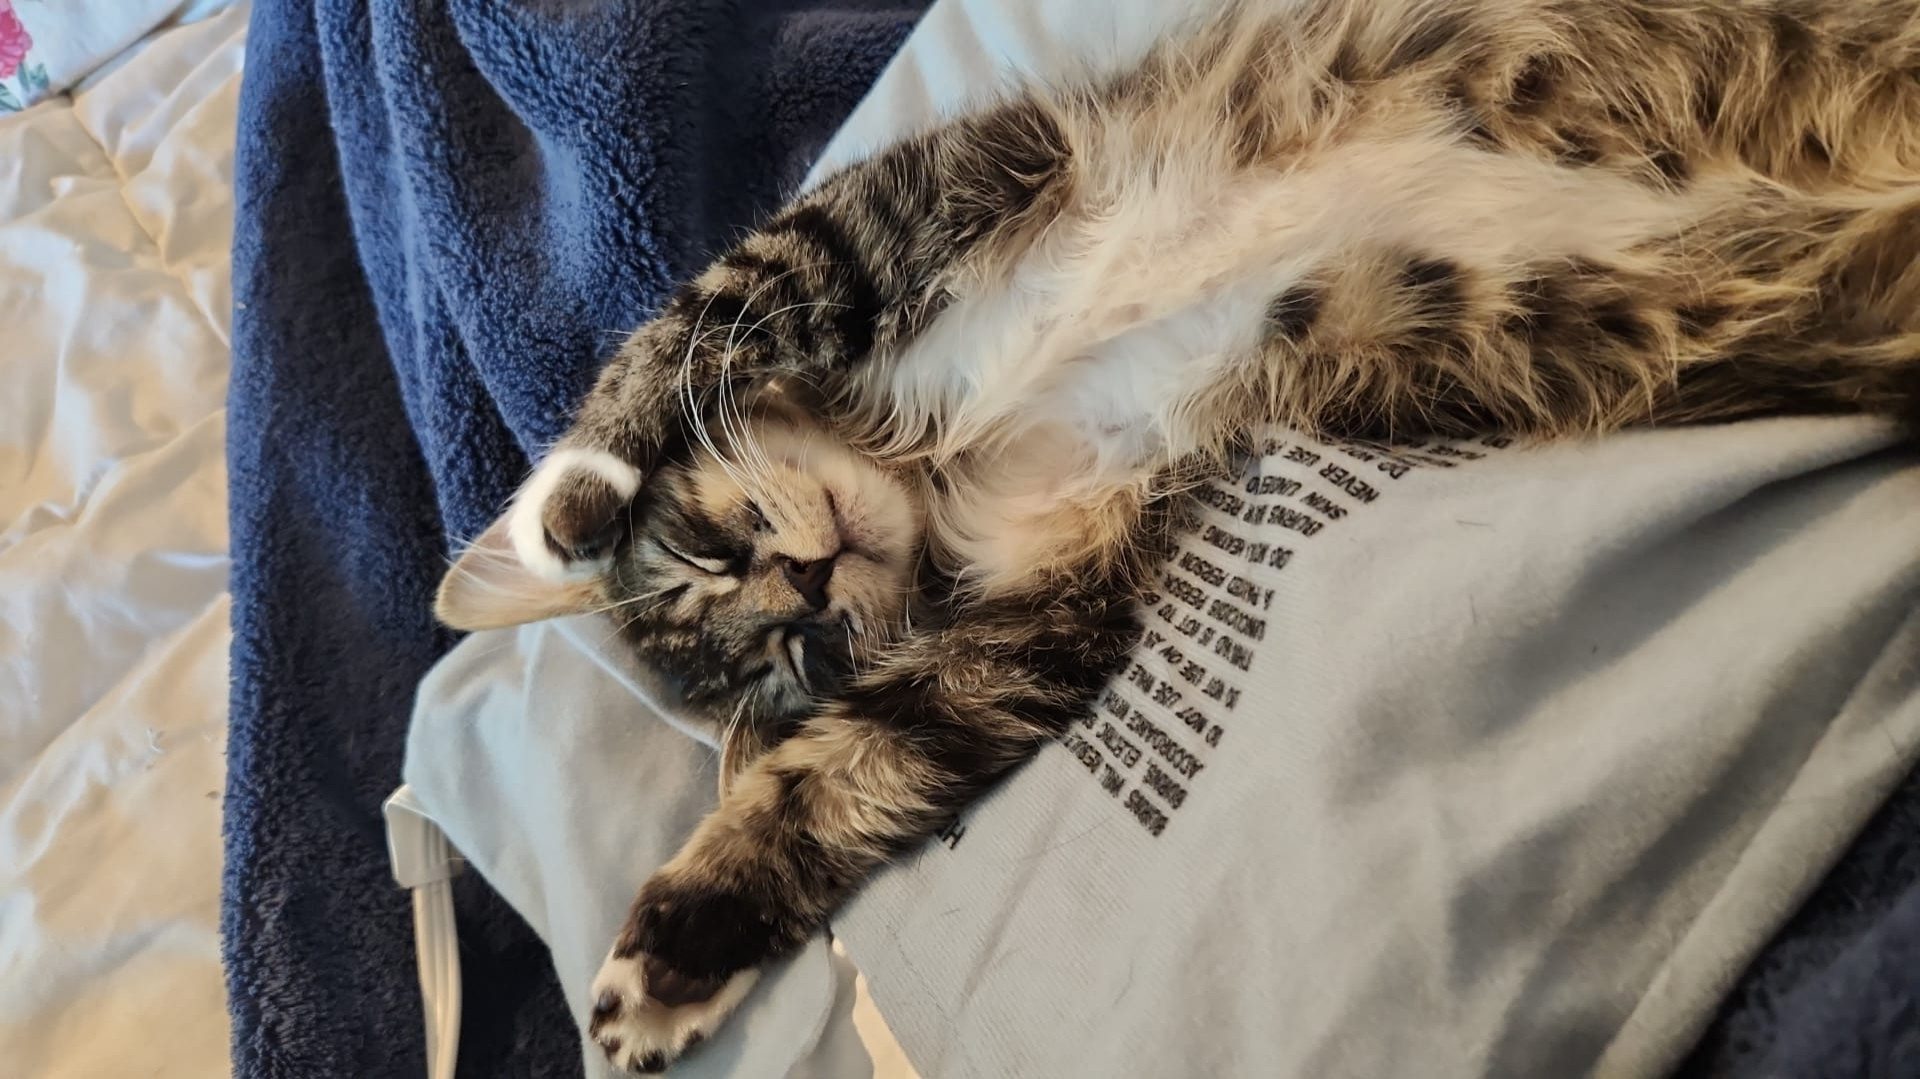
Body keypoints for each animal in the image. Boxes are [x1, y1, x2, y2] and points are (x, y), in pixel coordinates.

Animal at [435, 0, 1920, 1067]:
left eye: (711, 552)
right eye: (793, 656)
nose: (803, 580)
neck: (933, 447)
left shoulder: (930, 190)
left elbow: (678, 328)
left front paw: (567, 508)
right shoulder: (1057, 592)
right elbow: (849, 768)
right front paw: (680, 946)